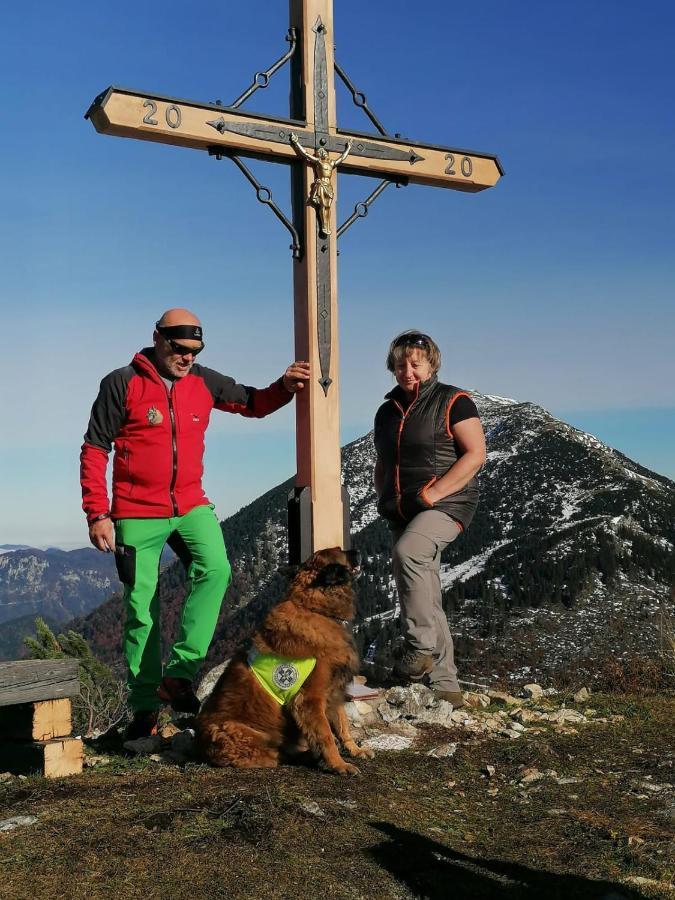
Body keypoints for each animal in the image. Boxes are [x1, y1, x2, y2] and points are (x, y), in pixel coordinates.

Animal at [194, 544, 374, 776]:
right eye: (341, 551)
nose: (359, 551)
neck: (315, 609)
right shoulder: (310, 699)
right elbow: (326, 735)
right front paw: (338, 764)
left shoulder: (334, 691)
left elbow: (343, 725)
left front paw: (354, 750)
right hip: (236, 732)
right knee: (274, 755)